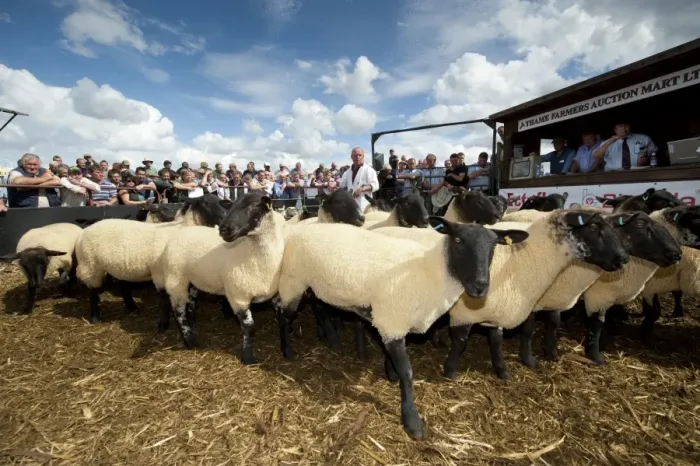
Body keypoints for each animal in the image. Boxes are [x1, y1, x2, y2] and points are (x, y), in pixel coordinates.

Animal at [75, 194, 232, 323]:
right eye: (205, 203)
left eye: (221, 202)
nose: (225, 217)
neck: (184, 228)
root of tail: (85, 229)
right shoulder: (164, 272)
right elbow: (166, 298)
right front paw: (165, 323)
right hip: (90, 264)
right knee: (92, 291)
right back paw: (95, 317)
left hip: (116, 265)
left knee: (122, 285)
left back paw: (132, 307)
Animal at [159, 192, 286, 364]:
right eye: (231, 205)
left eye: (253, 206)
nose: (224, 229)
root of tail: (186, 228)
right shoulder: (238, 297)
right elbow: (249, 327)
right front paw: (248, 358)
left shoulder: (276, 295)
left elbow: (282, 318)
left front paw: (286, 348)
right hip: (175, 279)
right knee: (179, 311)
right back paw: (190, 341)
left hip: (192, 281)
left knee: (190, 305)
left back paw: (193, 327)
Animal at [276, 217, 529, 438]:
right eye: (458, 240)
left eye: (494, 245)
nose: (480, 286)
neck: (429, 273)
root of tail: (301, 228)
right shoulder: (392, 322)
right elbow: (408, 372)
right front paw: (412, 420)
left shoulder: (390, 322)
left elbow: (394, 360)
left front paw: (390, 373)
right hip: (292, 282)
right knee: (281, 311)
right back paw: (287, 350)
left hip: (313, 286)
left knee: (317, 307)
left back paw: (330, 339)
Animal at [374, 209, 629, 380]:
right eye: (594, 227)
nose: (624, 258)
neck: (521, 260)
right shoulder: (465, 314)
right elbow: (461, 342)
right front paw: (450, 371)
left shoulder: (502, 308)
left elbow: (497, 341)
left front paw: (503, 370)